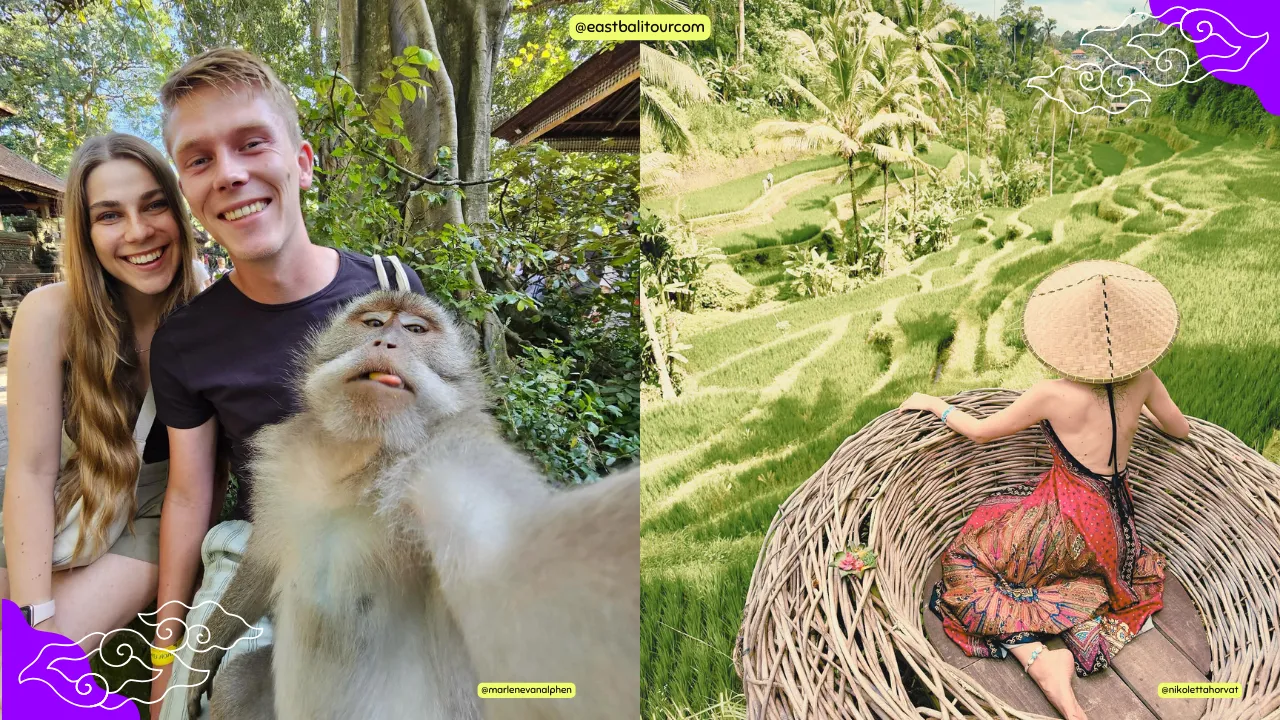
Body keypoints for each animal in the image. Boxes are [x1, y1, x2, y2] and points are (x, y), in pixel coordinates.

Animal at [185, 289, 639, 720]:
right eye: (373, 322)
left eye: (416, 330)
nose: (386, 342)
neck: (357, 461)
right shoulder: (282, 471)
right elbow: (261, 564)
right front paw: (202, 661)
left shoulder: (446, 459)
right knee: (237, 683)